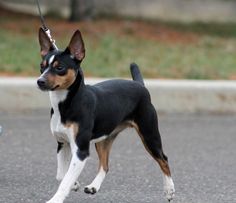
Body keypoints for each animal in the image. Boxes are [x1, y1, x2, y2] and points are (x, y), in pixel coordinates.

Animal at [37, 27, 175, 203]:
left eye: (59, 67)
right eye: (41, 67)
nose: (39, 81)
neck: (66, 103)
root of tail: (140, 85)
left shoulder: (81, 150)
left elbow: (65, 179)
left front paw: (56, 199)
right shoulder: (62, 143)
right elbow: (62, 175)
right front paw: (74, 184)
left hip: (149, 135)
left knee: (164, 159)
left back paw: (169, 190)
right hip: (104, 139)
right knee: (105, 164)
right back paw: (93, 186)